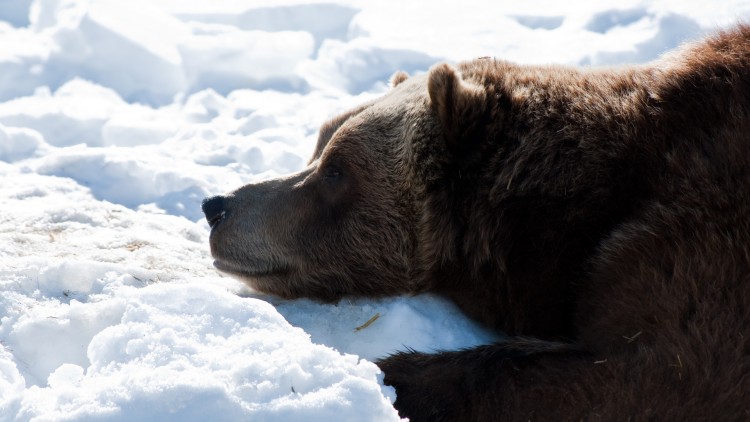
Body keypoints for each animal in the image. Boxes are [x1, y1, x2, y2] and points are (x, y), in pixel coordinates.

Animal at [203, 24, 750, 420]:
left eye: (337, 169)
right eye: (319, 146)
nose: (217, 206)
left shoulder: (696, 241)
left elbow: (656, 373)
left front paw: (384, 373)